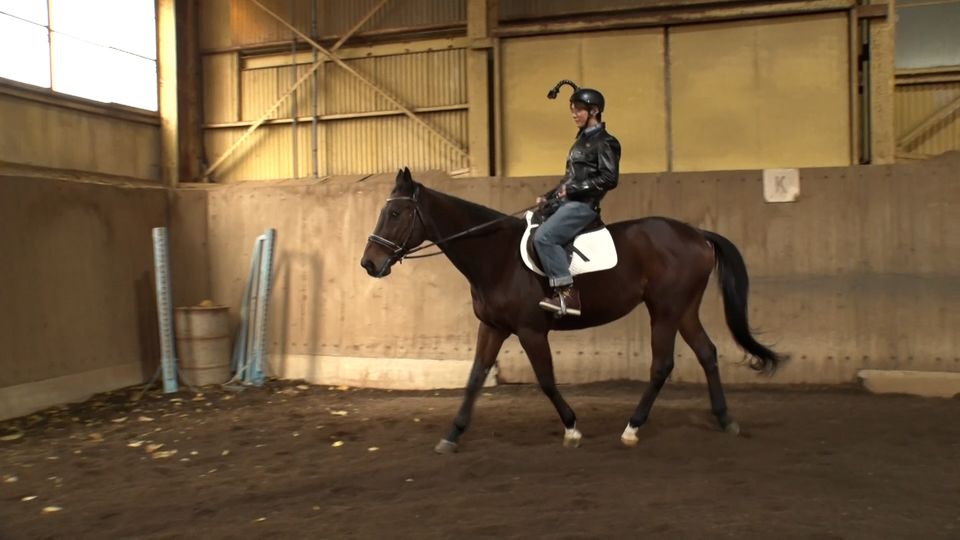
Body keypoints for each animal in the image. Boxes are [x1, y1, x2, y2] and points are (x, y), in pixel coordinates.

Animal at [360, 168, 782, 454]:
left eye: (395, 214)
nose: (369, 263)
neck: (496, 256)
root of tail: (698, 235)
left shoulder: (530, 330)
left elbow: (546, 379)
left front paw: (572, 428)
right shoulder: (493, 327)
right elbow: (475, 377)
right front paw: (451, 435)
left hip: (664, 310)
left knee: (662, 365)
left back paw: (632, 428)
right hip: (683, 310)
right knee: (707, 353)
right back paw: (725, 419)